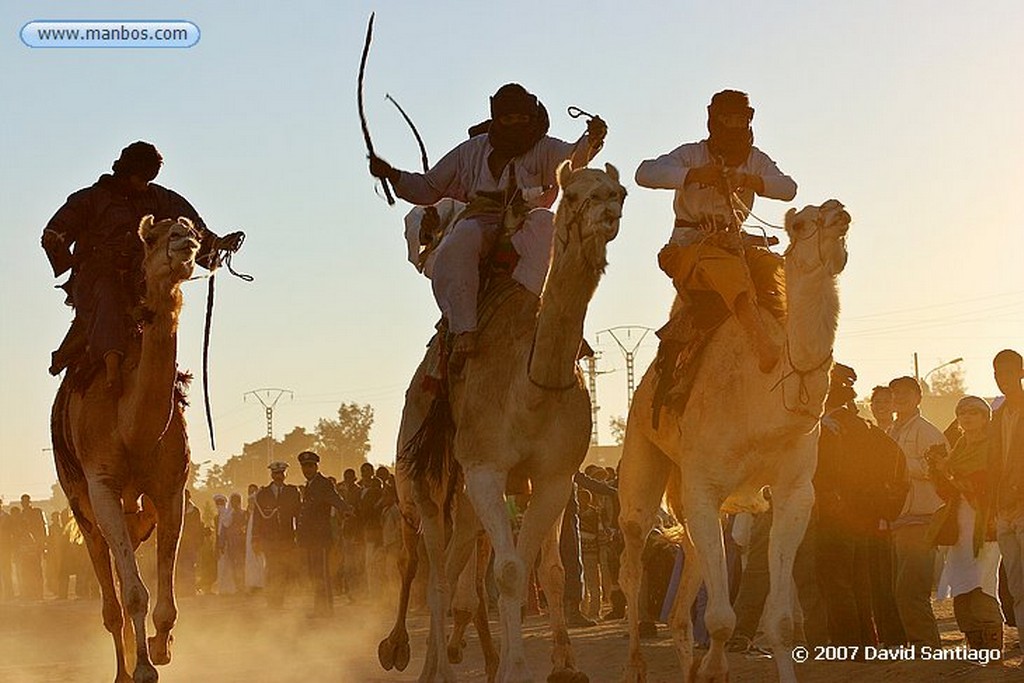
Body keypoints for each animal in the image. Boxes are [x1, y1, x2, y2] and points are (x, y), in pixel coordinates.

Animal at [49, 215, 200, 683]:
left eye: (193, 231)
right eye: (152, 237)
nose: (185, 244)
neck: (132, 428)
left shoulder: (171, 490)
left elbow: (165, 593)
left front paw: (161, 647)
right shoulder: (102, 485)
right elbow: (133, 593)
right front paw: (145, 668)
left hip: (137, 513)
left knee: (124, 558)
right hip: (79, 502)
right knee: (110, 595)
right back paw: (123, 669)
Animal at [403, 161, 626, 683]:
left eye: (617, 190)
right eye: (576, 194)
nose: (609, 209)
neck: (530, 387)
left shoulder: (555, 476)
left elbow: (542, 571)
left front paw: (562, 665)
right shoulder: (486, 467)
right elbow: (507, 572)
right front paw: (515, 668)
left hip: (466, 496)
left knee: (456, 563)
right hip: (427, 477)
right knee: (437, 574)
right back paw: (432, 668)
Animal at [614, 198, 847, 683]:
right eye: (801, 223)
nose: (839, 212)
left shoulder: (795, 492)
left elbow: (781, 622)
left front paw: (711, 668)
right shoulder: (705, 484)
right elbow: (721, 619)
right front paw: (715, 668)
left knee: (685, 577)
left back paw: (686, 663)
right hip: (642, 454)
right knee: (632, 559)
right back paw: (636, 665)